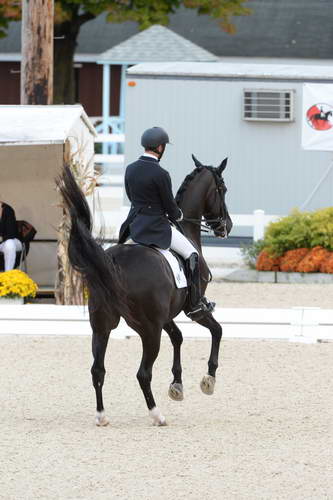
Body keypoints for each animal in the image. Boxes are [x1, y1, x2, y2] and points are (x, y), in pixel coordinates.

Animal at [57, 153, 231, 426]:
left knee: (98, 369)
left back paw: (101, 416)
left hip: (103, 325)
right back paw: (157, 415)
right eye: (222, 189)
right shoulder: (192, 309)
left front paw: (177, 385)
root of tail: (114, 262)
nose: (227, 227)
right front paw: (208, 380)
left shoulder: (166, 315)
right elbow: (217, 330)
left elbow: (178, 337)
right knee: (143, 373)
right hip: (148, 329)